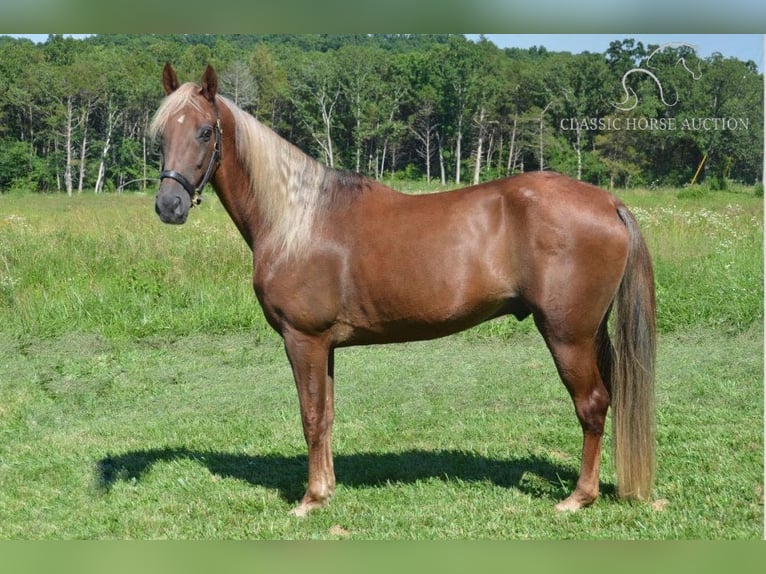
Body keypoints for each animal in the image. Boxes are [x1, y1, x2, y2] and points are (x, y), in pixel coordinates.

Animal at [153, 63, 656, 516]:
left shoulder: (303, 340)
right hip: (592, 334)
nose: (169, 206)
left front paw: (309, 500)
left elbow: (311, 417)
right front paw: (326, 491)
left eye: (205, 132)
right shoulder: (325, 346)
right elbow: (327, 415)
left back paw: (578, 497)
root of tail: (607, 201)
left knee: (592, 405)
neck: (298, 220)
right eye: (160, 137)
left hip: (567, 335)